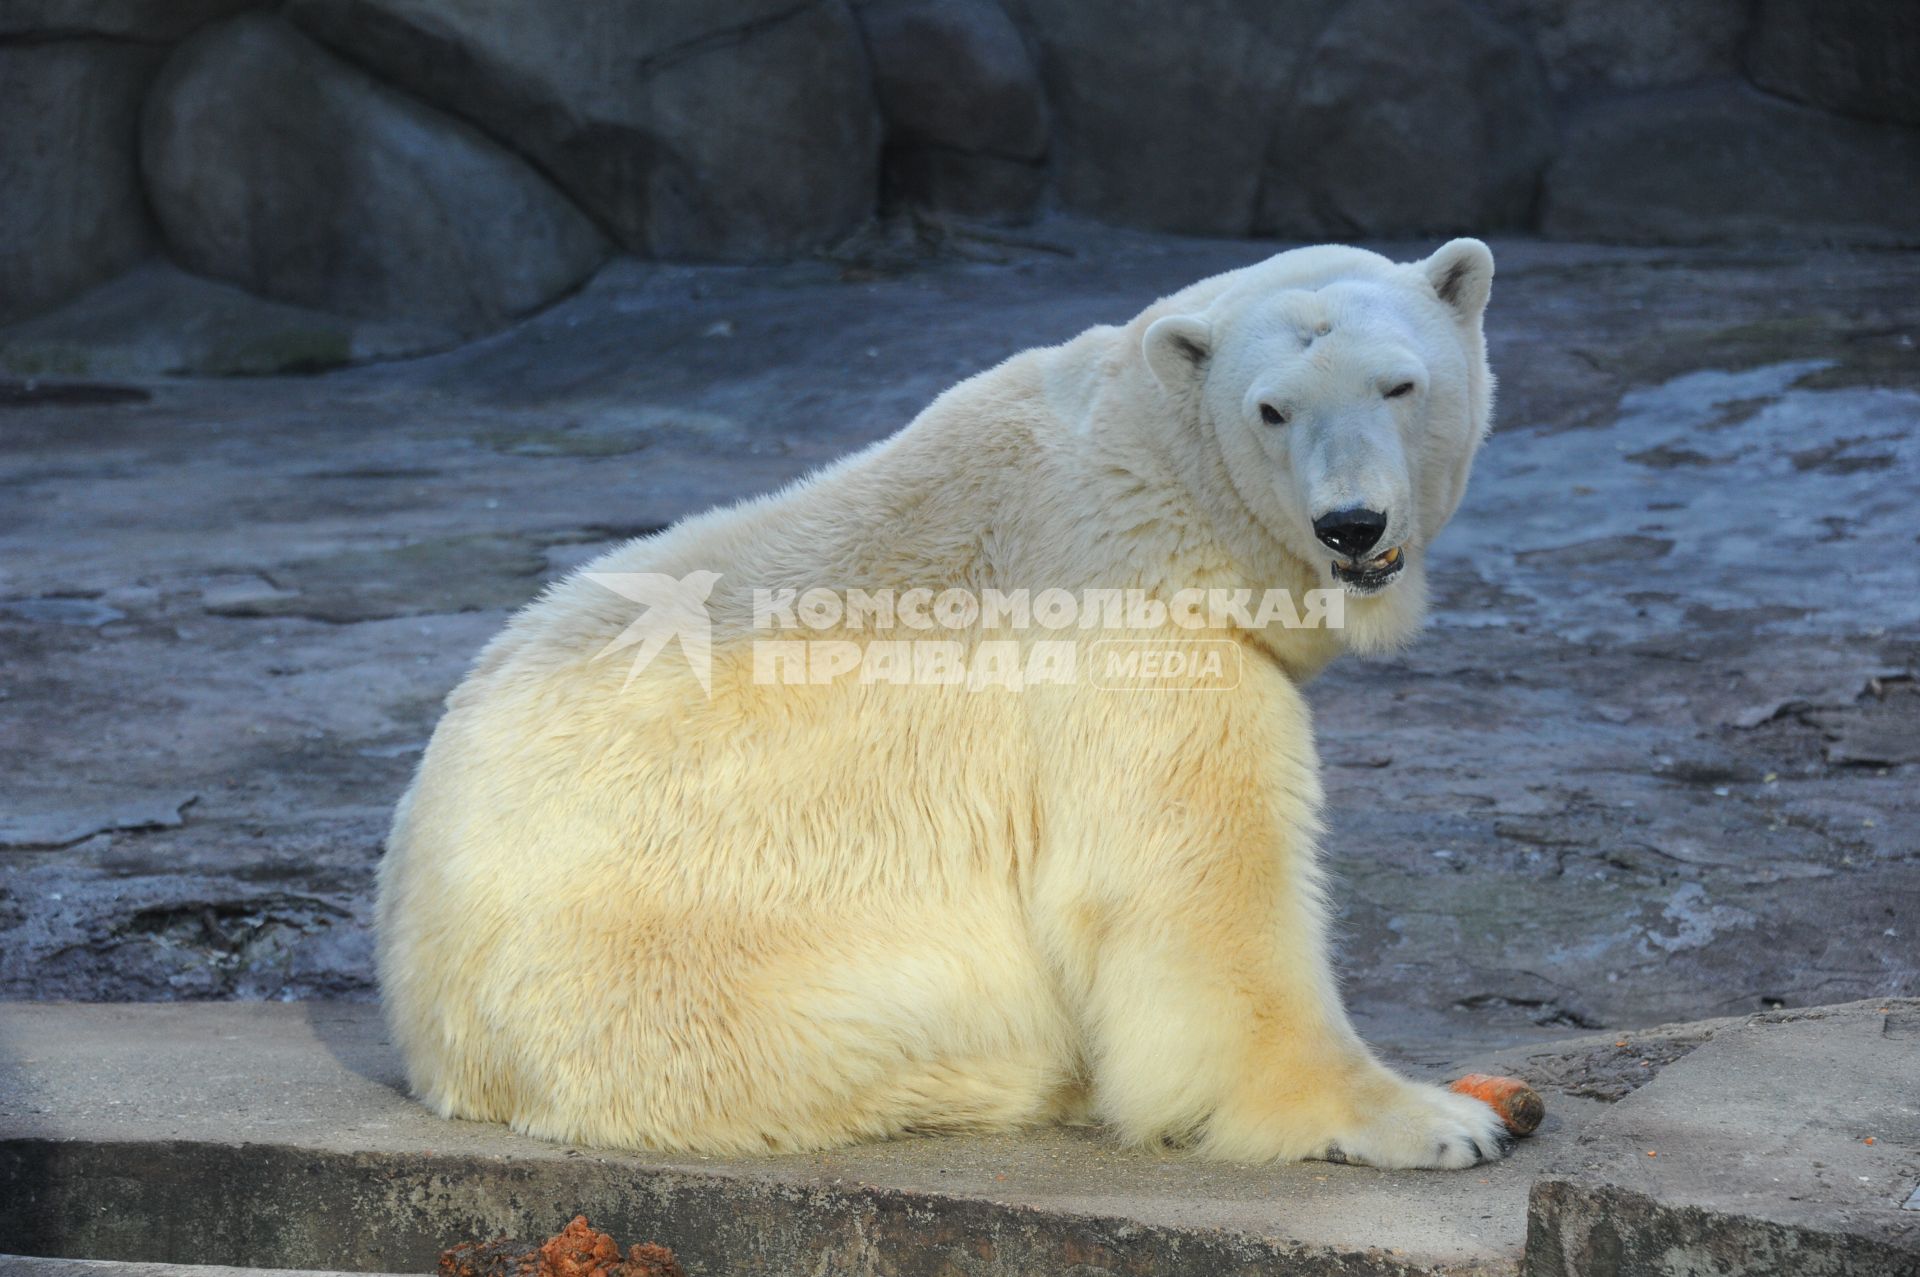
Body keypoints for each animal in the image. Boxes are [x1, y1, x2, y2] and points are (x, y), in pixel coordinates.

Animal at [374, 236, 1505, 1167]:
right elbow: (1201, 892)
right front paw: (1436, 1119)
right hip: (683, 970)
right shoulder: (1131, 637)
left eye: (1400, 384)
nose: (1351, 524)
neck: (1157, 481)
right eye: (1272, 409)